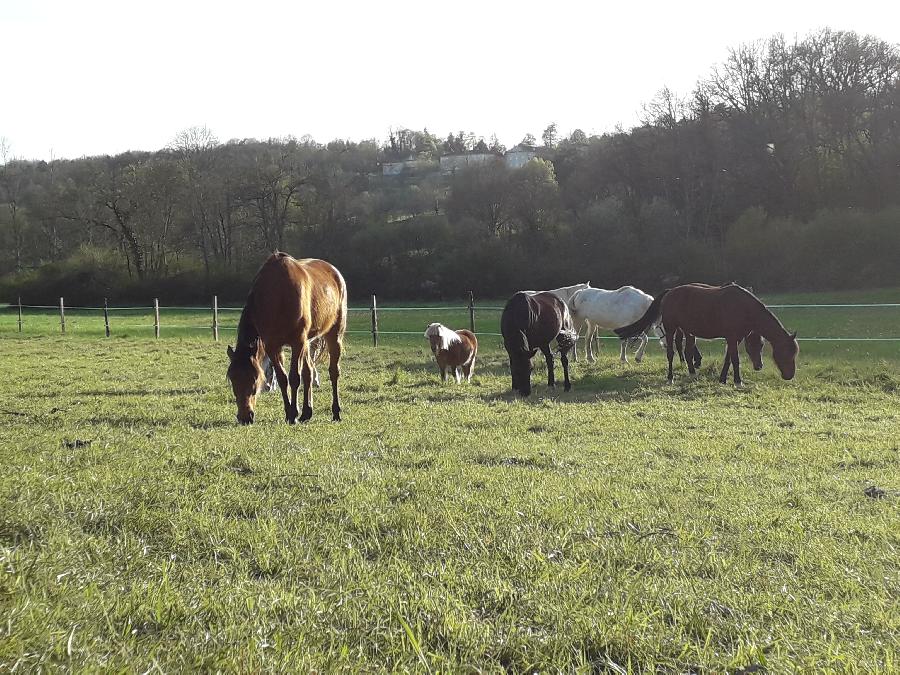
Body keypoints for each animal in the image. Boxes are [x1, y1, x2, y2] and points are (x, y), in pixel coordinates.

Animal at [225, 251, 348, 426]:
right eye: (232, 379)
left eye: (255, 379)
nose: (244, 417)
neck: (277, 295)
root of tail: (334, 272)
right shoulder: (273, 345)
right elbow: (282, 378)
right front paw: (289, 412)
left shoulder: (297, 342)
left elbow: (294, 377)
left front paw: (293, 414)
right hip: (307, 343)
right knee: (309, 372)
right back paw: (306, 413)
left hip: (333, 335)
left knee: (333, 372)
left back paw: (336, 412)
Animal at [616, 280, 800, 386]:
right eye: (785, 353)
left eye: (761, 345)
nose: (790, 375)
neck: (743, 307)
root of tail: (670, 292)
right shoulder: (732, 337)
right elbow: (735, 359)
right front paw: (737, 382)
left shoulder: (734, 338)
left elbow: (728, 358)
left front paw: (723, 379)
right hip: (671, 329)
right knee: (671, 353)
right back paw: (670, 377)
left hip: (688, 331)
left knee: (688, 352)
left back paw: (692, 373)